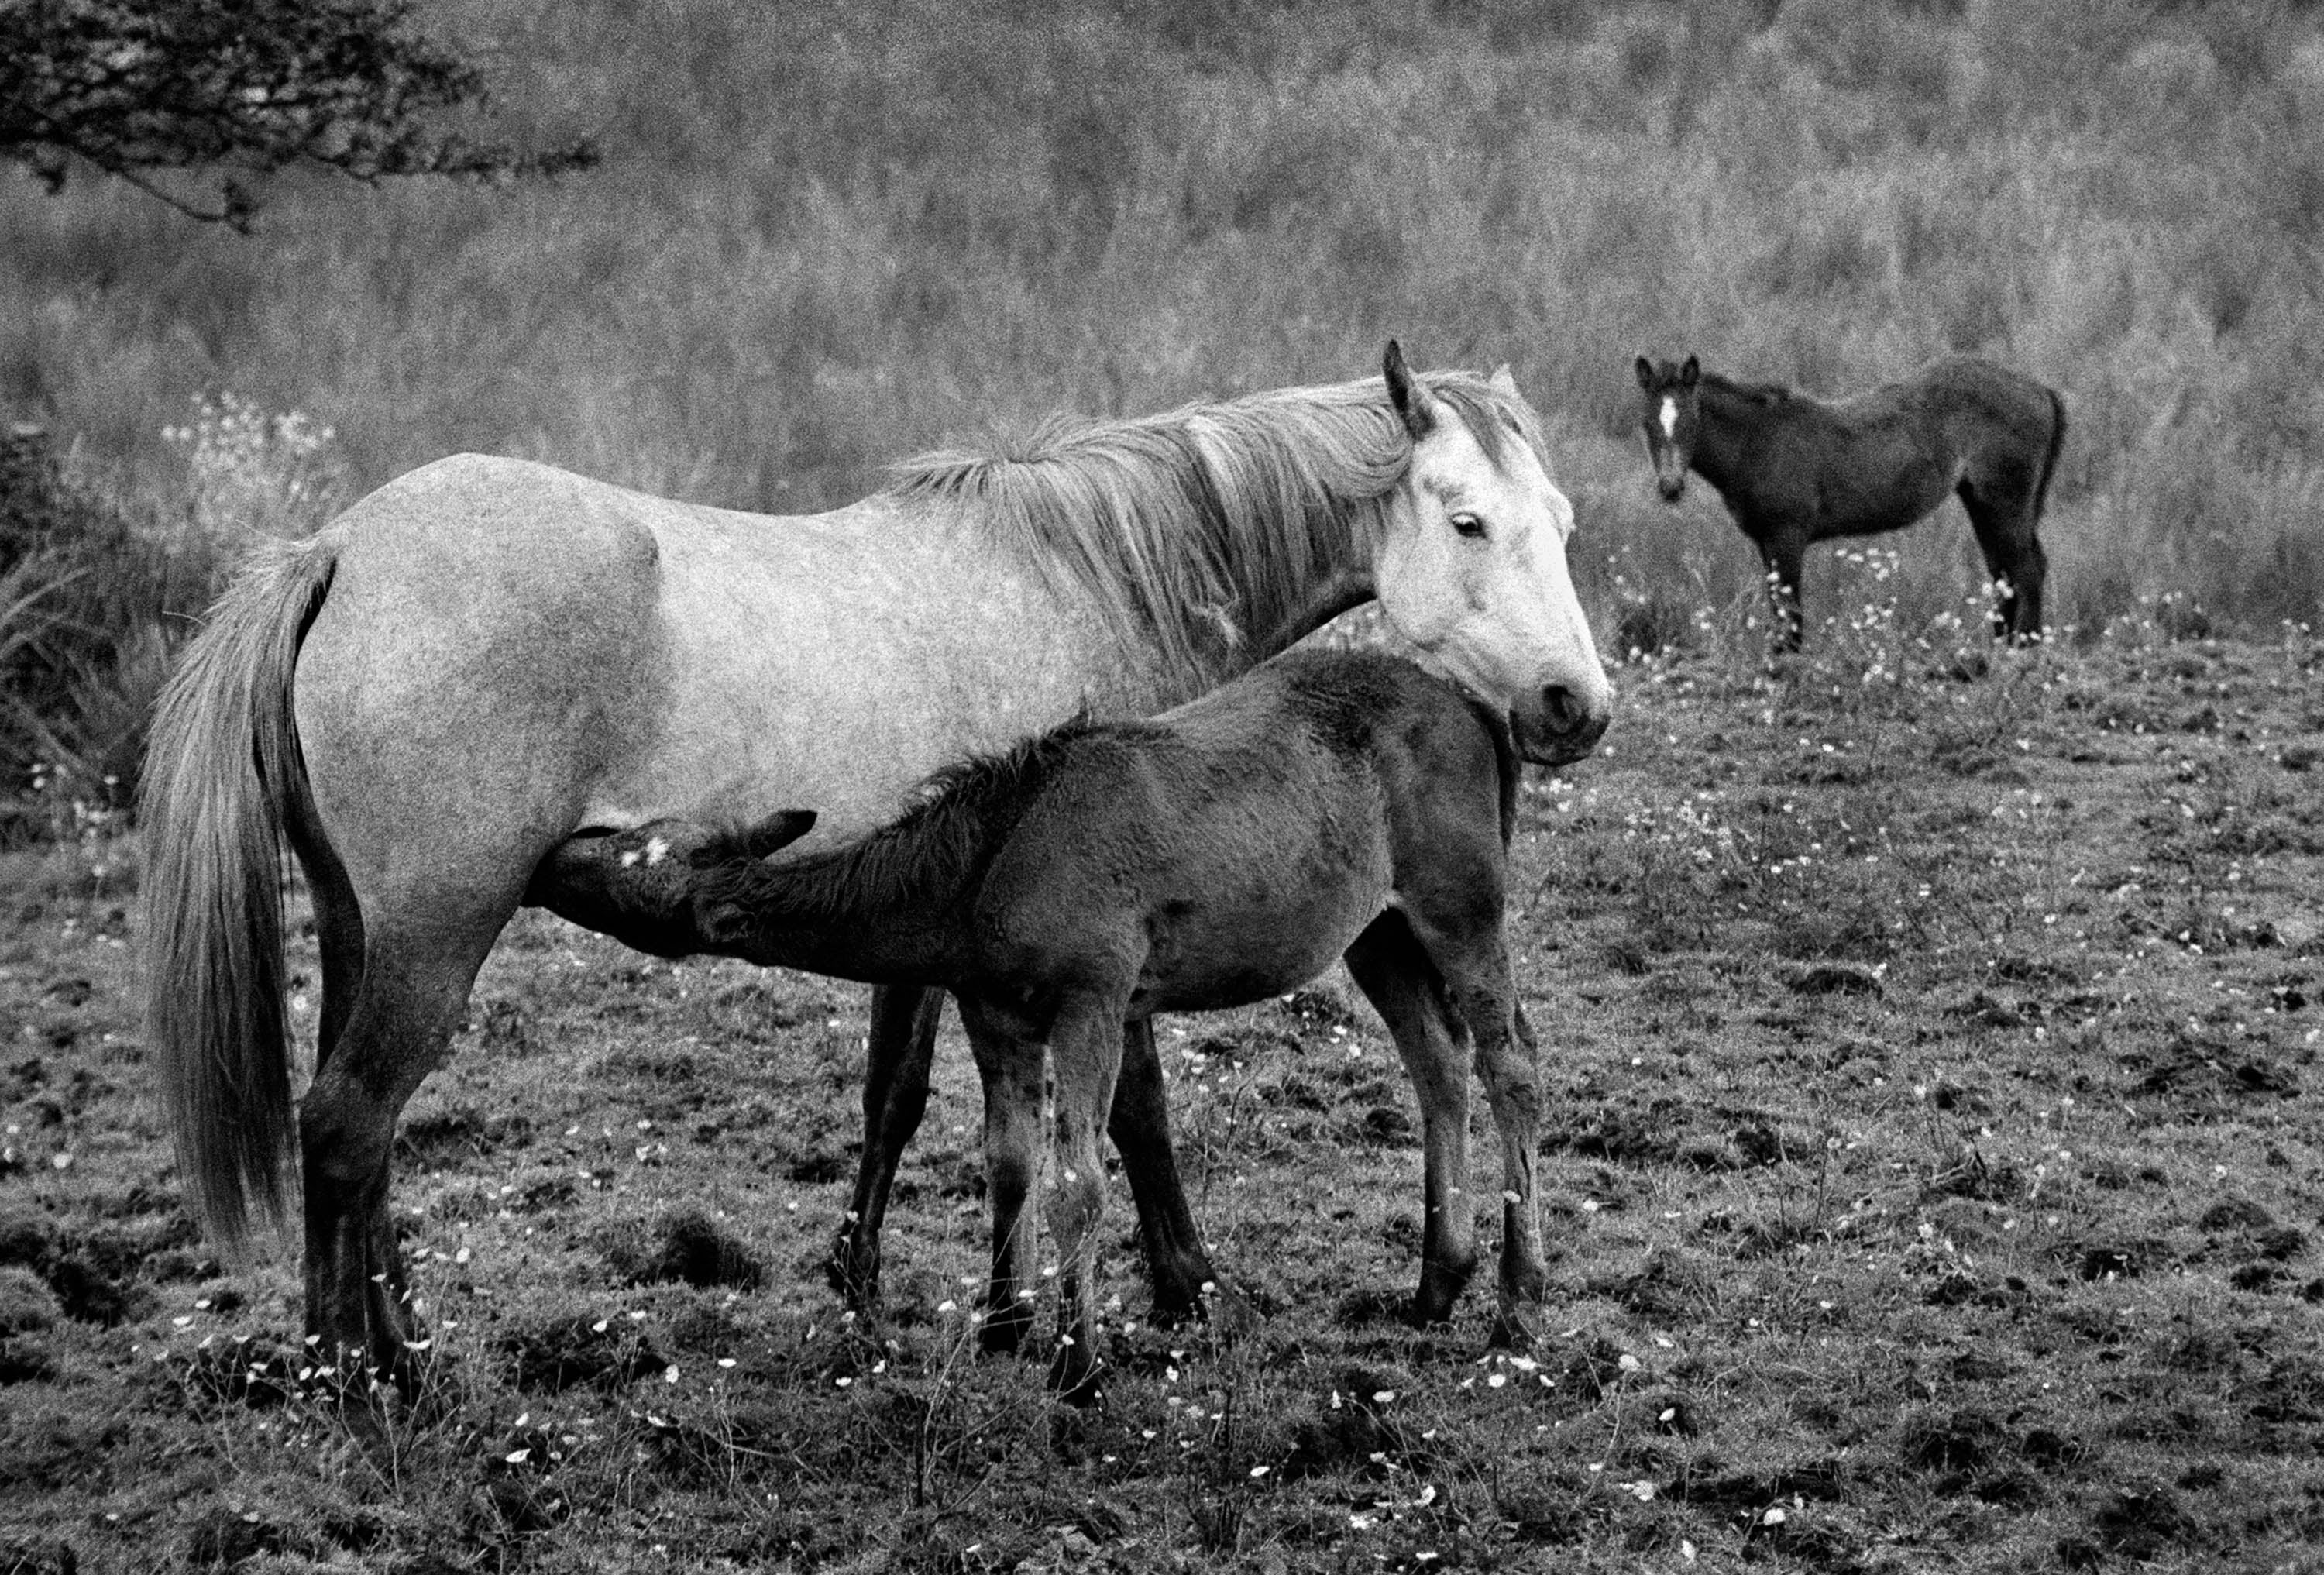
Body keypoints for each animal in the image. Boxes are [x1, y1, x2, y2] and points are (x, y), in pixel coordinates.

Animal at [531, 647, 1547, 1401]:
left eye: (628, 866)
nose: (555, 849)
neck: (984, 864)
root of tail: (1478, 711)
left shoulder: (1093, 996)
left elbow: (1078, 1182)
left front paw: (1078, 1363)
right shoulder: (996, 1009)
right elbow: (1011, 1159)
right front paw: (1003, 1325)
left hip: (1463, 904)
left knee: (1512, 1064)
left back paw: (1517, 1302)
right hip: (1379, 931)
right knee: (1437, 1060)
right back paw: (1437, 1280)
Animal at [1633, 354, 2067, 648]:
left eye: (1691, 419)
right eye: (1647, 423)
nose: (1670, 487)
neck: (1759, 440)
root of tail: (2042, 390)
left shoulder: (1787, 537)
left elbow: (1789, 612)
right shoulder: (1765, 541)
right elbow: (1779, 607)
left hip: (2005, 502)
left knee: (2026, 570)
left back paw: (2023, 651)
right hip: (1983, 503)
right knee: (2004, 573)